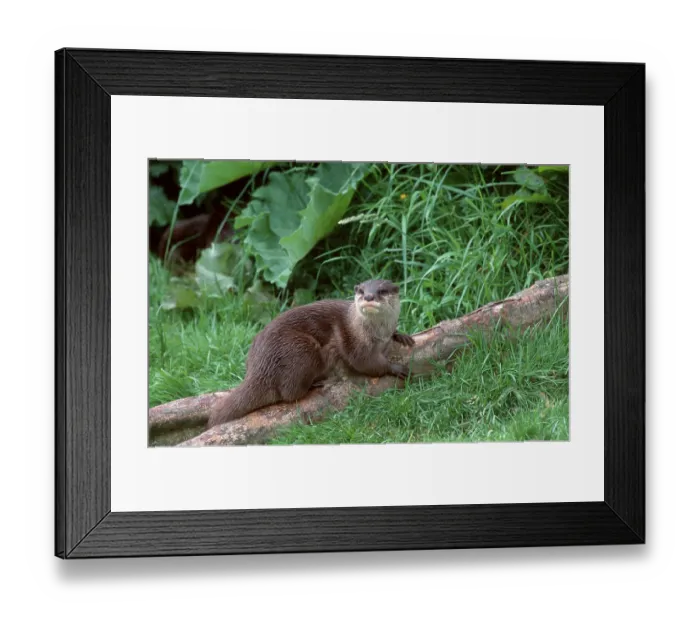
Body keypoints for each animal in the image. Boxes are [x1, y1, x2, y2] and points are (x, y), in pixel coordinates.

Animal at [207, 279, 415, 428]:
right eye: (362, 291)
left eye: (382, 291)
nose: (369, 297)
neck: (378, 335)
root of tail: (261, 365)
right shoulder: (355, 344)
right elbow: (367, 363)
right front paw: (395, 367)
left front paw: (401, 335)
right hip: (302, 349)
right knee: (289, 394)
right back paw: (314, 385)